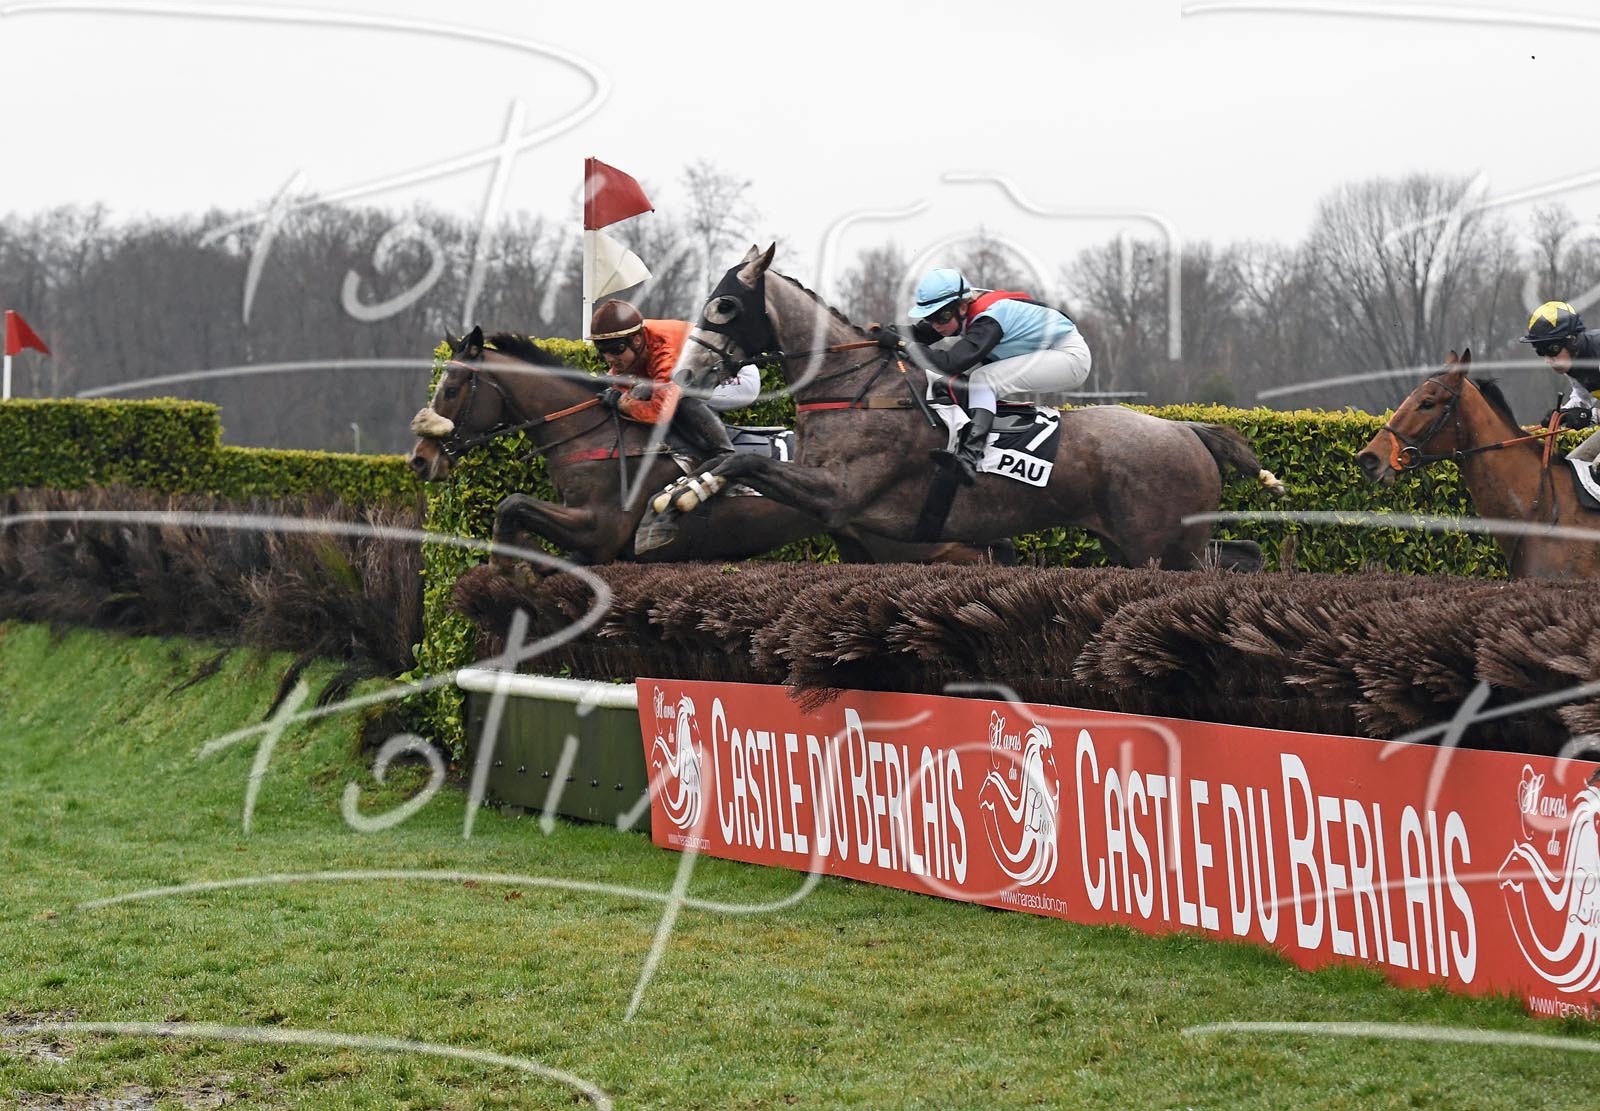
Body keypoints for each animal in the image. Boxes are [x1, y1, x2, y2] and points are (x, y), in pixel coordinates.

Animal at [406, 327, 1010, 566]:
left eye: (452, 387)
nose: (419, 460)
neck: (594, 436)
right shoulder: (600, 547)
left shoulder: (600, 527)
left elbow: (512, 505)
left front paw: (510, 573)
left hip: (920, 544)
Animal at [663, 244, 1282, 569]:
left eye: (725, 306)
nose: (685, 376)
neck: (856, 388)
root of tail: (1186, 430)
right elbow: (732, 459)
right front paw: (683, 489)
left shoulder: (841, 495)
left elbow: (746, 459)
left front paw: (685, 494)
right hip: (1152, 542)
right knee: (1243, 552)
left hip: (1156, 547)